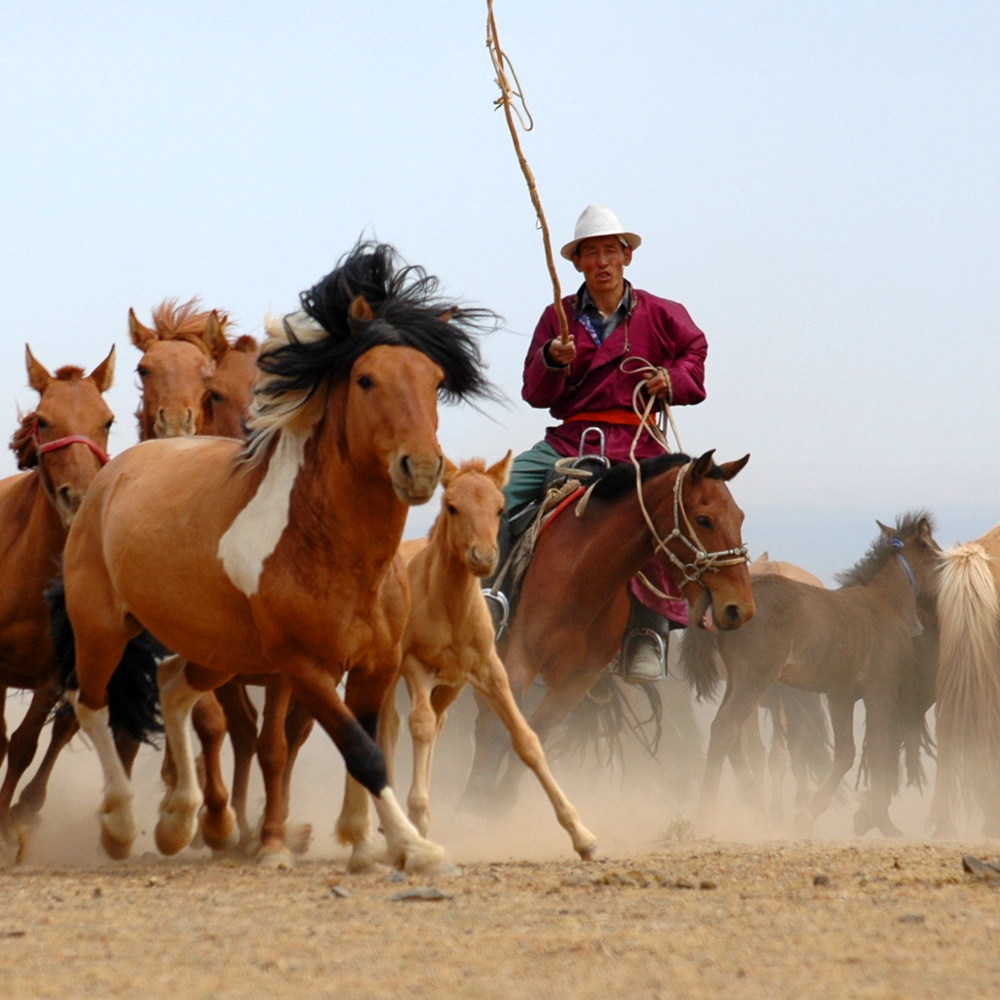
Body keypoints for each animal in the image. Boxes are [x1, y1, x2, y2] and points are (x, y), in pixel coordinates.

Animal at [59, 238, 496, 872]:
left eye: (435, 379)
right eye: (366, 379)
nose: (421, 468)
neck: (338, 551)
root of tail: (112, 474)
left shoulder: (374, 666)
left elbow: (359, 749)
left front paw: (368, 844)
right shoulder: (305, 668)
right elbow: (361, 753)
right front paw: (416, 847)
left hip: (217, 649)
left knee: (174, 685)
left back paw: (181, 818)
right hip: (102, 626)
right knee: (90, 703)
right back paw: (120, 823)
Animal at [372, 458, 596, 864]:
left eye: (499, 508)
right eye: (452, 506)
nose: (484, 557)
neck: (449, 607)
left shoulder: (489, 670)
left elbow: (525, 739)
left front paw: (582, 836)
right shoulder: (415, 666)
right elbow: (419, 725)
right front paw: (418, 820)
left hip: (450, 684)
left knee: (432, 722)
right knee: (392, 726)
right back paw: (394, 824)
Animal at [460, 450, 752, 816]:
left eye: (739, 517)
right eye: (703, 519)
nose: (739, 608)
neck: (583, 574)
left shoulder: (577, 680)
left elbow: (536, 735)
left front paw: (498, 803)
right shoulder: (522, 658)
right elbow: (504, 731)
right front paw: (476, 806)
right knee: (485, 724)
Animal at [680, 516, 936, 836]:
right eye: (937, 554)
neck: (882, 605)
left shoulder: (841, 695)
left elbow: (846, 752)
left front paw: (806, 816)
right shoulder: (881, 691)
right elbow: (878, 748)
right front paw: (882, 822)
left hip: (739, 681)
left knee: (733, 738)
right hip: (754, 682)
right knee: (726, 729)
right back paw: (707, 815)